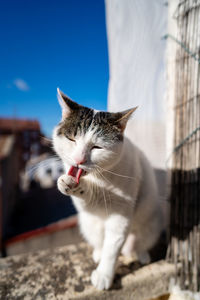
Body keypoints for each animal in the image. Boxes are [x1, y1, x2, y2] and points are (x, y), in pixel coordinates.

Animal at [52, 88, 165, 290]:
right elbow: (86, 199)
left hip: (152, 224)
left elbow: (112, 247)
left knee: (139, 243)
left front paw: (104, 275)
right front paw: (68, 184)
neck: (100, 178)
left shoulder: (121, 215)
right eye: (72, 139)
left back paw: (141, 254)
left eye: (97, 147)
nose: (79, 160)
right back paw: (98, 252)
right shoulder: (88, 206)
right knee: (99, 241)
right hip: (88, 225)